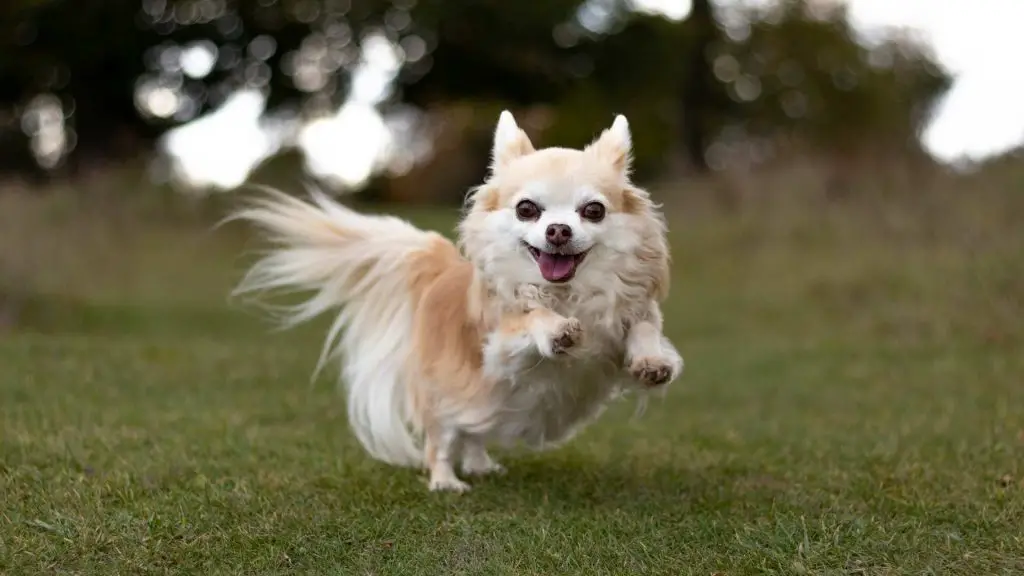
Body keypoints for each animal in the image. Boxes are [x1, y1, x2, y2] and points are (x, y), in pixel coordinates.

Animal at [228, 111, 684, 487]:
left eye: (593, 211)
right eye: (527, 209)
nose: (558, 230)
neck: (566, 292)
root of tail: (443, 269)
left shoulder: (634, 310)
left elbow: (643, 327)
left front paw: (652, 362)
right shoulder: (498, 348)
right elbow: (529, 317)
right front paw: (555, 329)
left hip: (480, 403)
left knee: (473, 434)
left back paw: (481, 464)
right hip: (448, 396)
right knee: (443, 443)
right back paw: (447, 482)